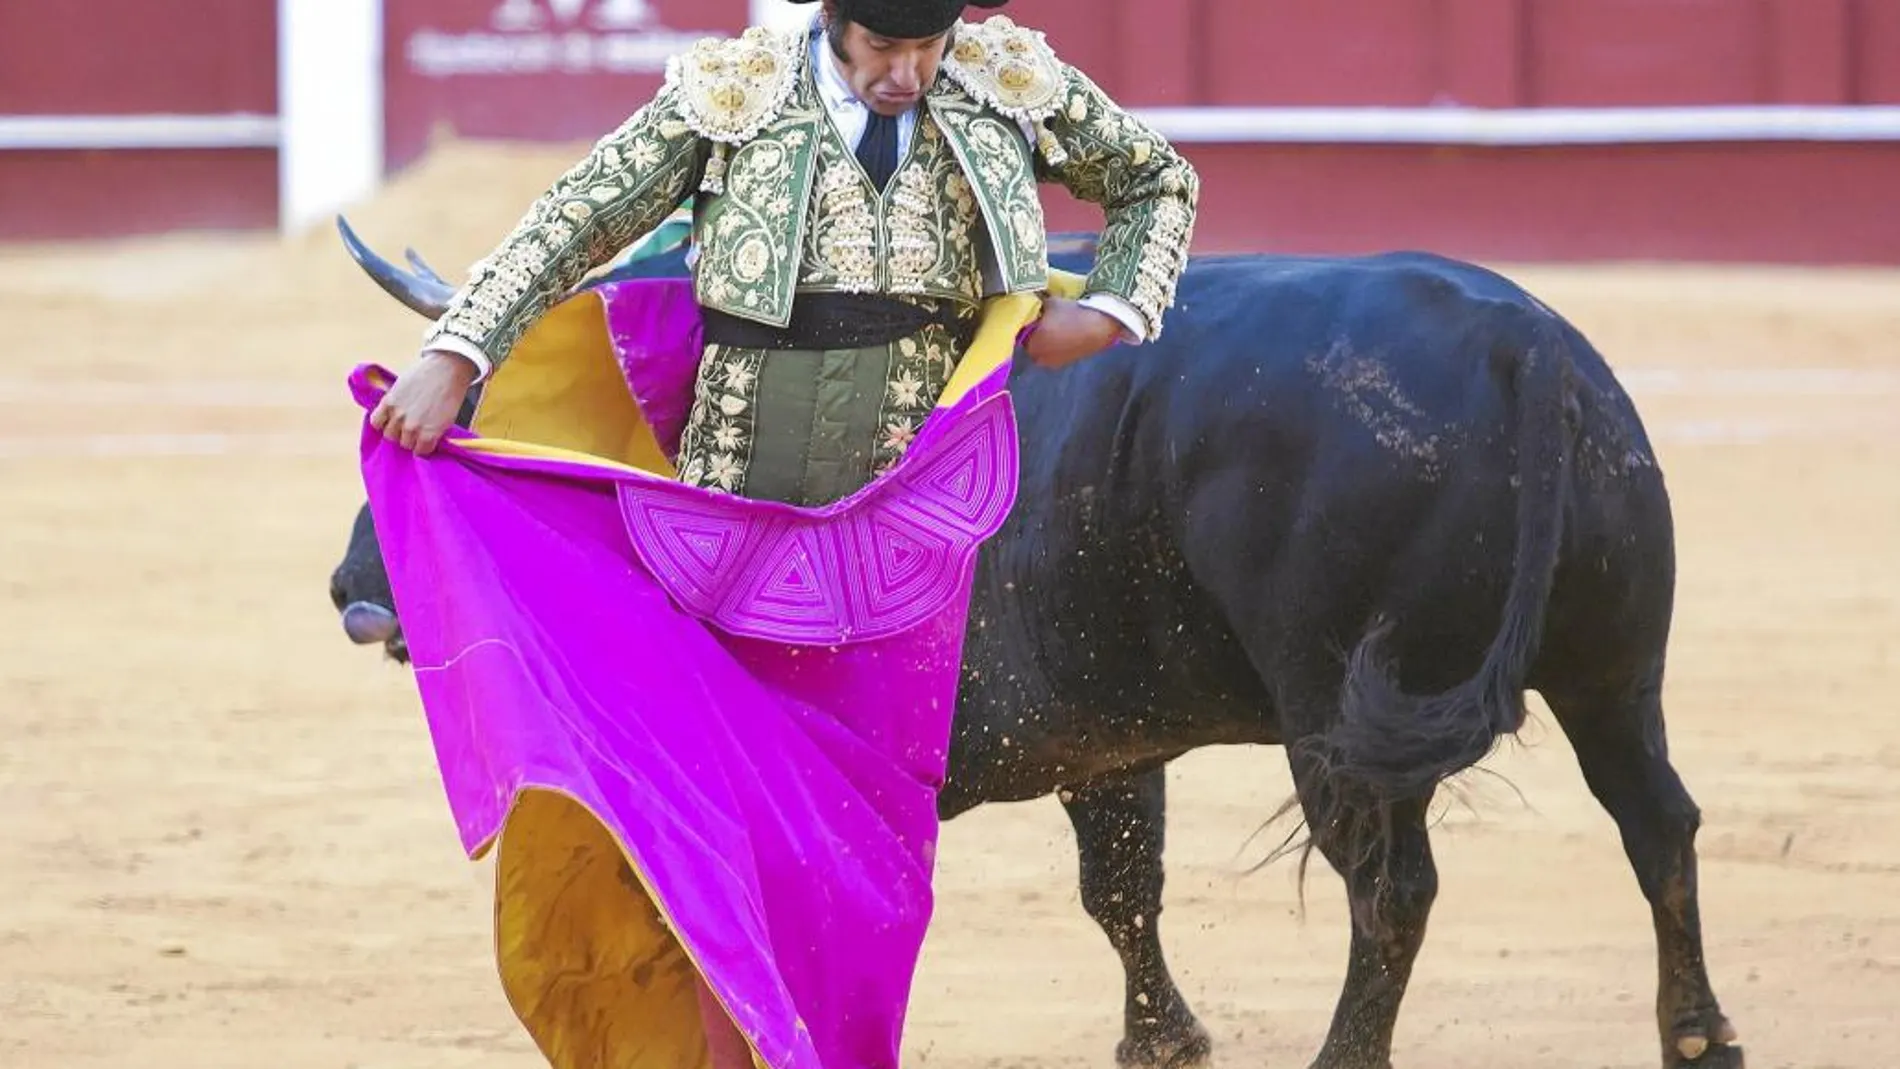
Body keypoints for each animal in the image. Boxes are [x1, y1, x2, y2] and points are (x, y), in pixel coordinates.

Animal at [323, 224, 1740, 1069]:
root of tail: (1524, 348)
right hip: (1617, 669)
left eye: (483, 403)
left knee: (1391, 889)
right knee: (1657, 821)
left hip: (1339, 713)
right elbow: (1120, 887)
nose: (354, 596)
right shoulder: (1105, 740)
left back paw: (1350, 1057)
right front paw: (1163, 1043)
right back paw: (1698, 1036)